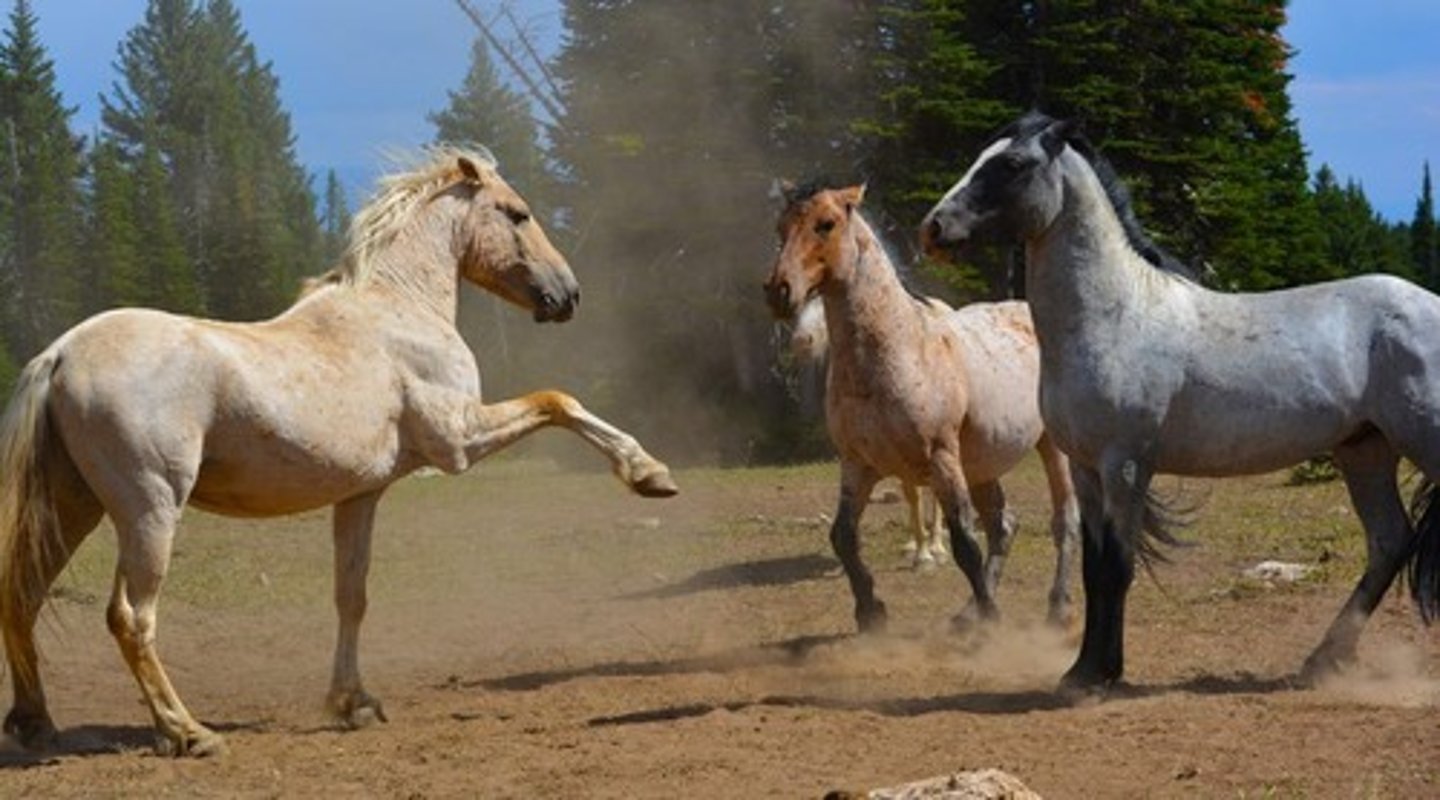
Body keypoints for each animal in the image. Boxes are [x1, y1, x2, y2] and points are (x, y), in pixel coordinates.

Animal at [0, 148, 676, 753]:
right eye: (517, 213)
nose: (568, 295)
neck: (399, 309)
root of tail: (59, 353)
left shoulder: (361, 495)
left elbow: (351, 597)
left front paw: (354, 703)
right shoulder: (460, 441)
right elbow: (558, 401)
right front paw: (649, 474)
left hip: (75, 507)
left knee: (23, 594)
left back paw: (36, 723)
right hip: (149, 509)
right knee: (130, 618)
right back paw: (187, 732)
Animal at [921, 109, 1440, 690]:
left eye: (1012, 164)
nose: (934, 228)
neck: (1114, 316)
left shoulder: (1125, 465)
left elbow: (1117, 567)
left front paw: (1100, 675)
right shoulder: (1086, 468)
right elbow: (1095, 569)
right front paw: (1082, 670)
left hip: (1419, 442)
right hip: (1364, 450)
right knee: (1388, 542)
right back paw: (1321, 661)